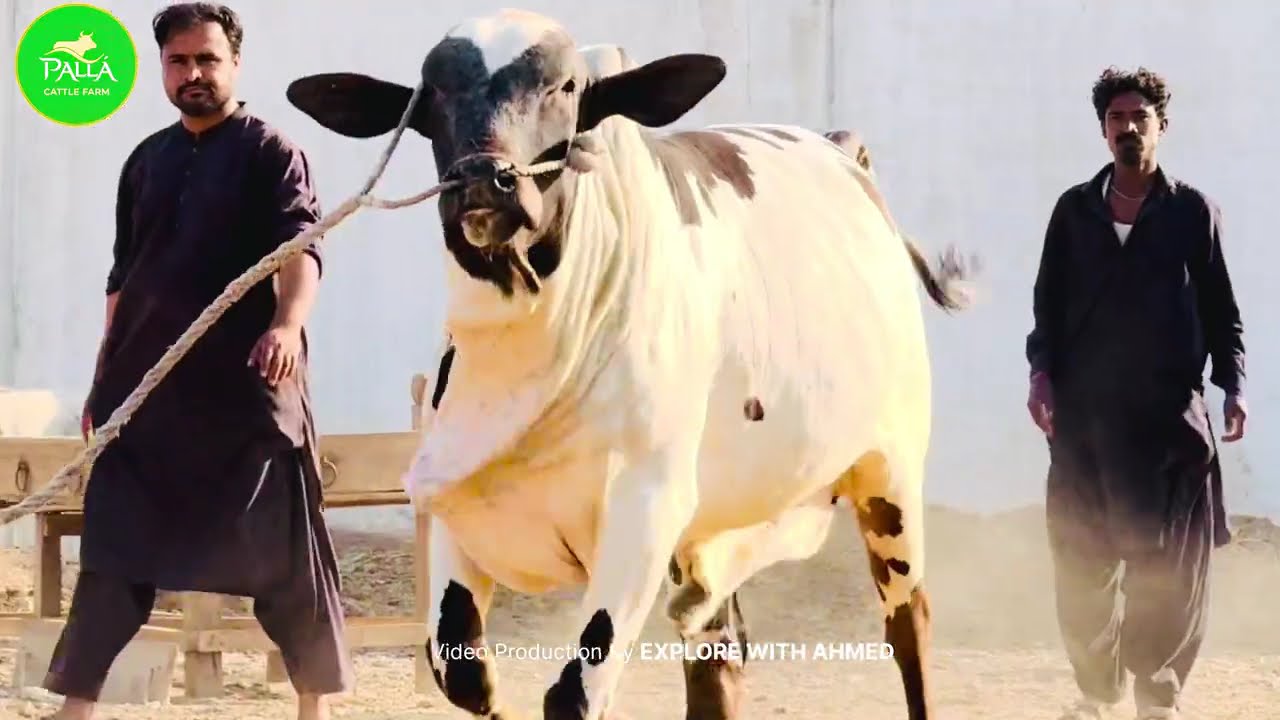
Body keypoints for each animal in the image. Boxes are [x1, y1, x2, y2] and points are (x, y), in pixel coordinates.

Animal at [285, 9, 974, 720]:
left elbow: (573, 691)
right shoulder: (457, 500)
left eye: (564, 87)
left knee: (907, 622)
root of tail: (842, 150)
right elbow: (465, 673)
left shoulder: (644, 511)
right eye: (434, 94)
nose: (484, 177)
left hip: (890, 471)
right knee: (718, 654)